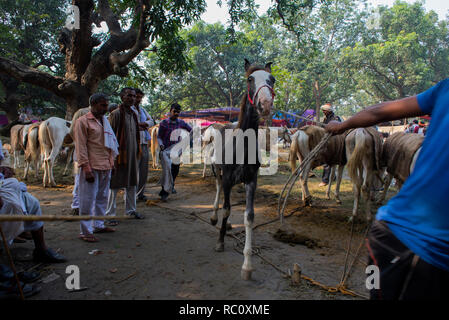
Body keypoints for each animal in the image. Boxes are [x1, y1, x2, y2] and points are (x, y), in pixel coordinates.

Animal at [209, 59, 272, 280]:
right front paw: (220, 242)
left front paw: (247, 265)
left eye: (272, 79)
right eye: (250, 79)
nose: (265, 104)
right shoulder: (228, 178)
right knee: (218, 188)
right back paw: (214, 216)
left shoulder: (251, 180)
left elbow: (249, 217)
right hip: (216, 169)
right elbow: (227, 208)